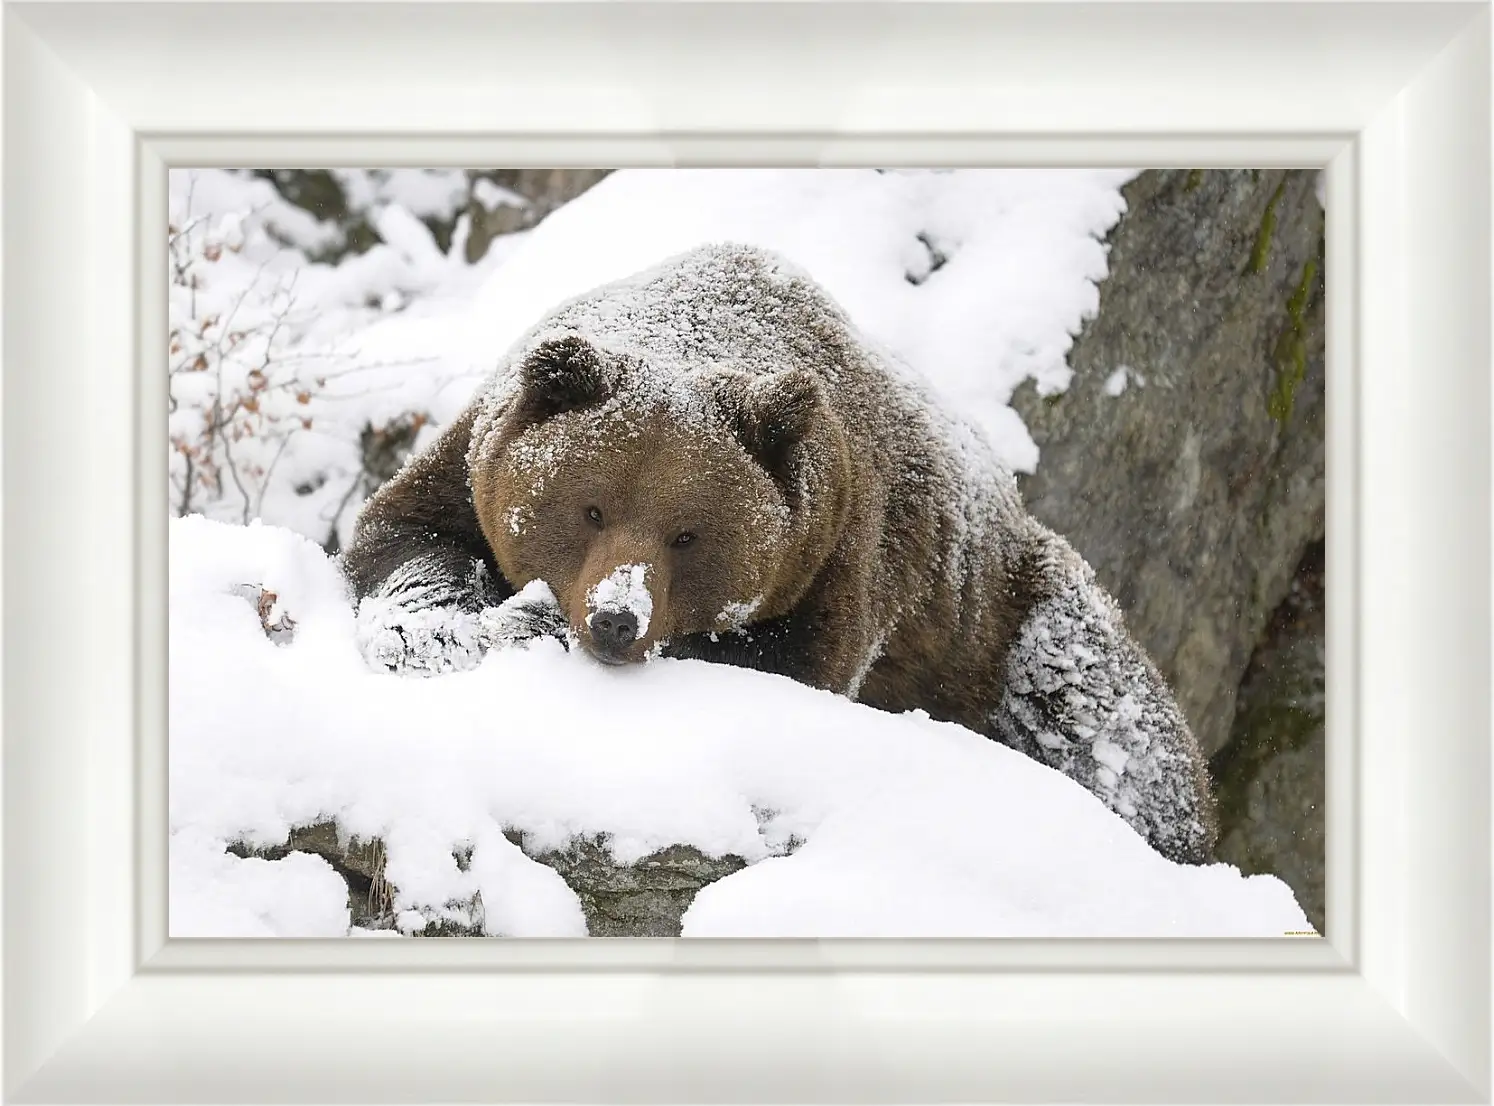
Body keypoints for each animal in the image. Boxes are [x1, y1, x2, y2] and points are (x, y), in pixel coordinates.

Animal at [343, 242, 1219, 866]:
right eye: (591, 508)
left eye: (687, 533)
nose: (617, 619)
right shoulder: (471, 462)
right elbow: (406, 538)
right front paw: (439, 628)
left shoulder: (840, 554)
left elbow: (784, 663)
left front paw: (530, 625)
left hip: (1007, 623)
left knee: (1110, 727)